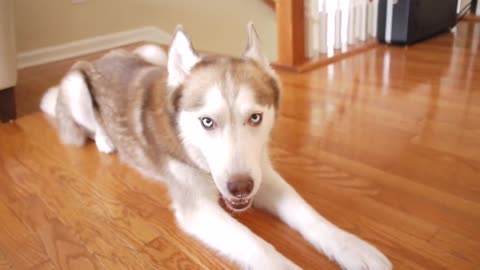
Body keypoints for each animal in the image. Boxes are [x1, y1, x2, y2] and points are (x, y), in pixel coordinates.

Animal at [40, 23, 394, 270]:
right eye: (207, 122)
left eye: (255, 117)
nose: (240, 188)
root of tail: (106, 55)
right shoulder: (198, 208)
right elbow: (258, 245)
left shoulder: (262, 174)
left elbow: (307, 213)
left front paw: (351, 246)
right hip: (77, 86)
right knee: (91, 123)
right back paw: (104, 140)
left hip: (152, 52)